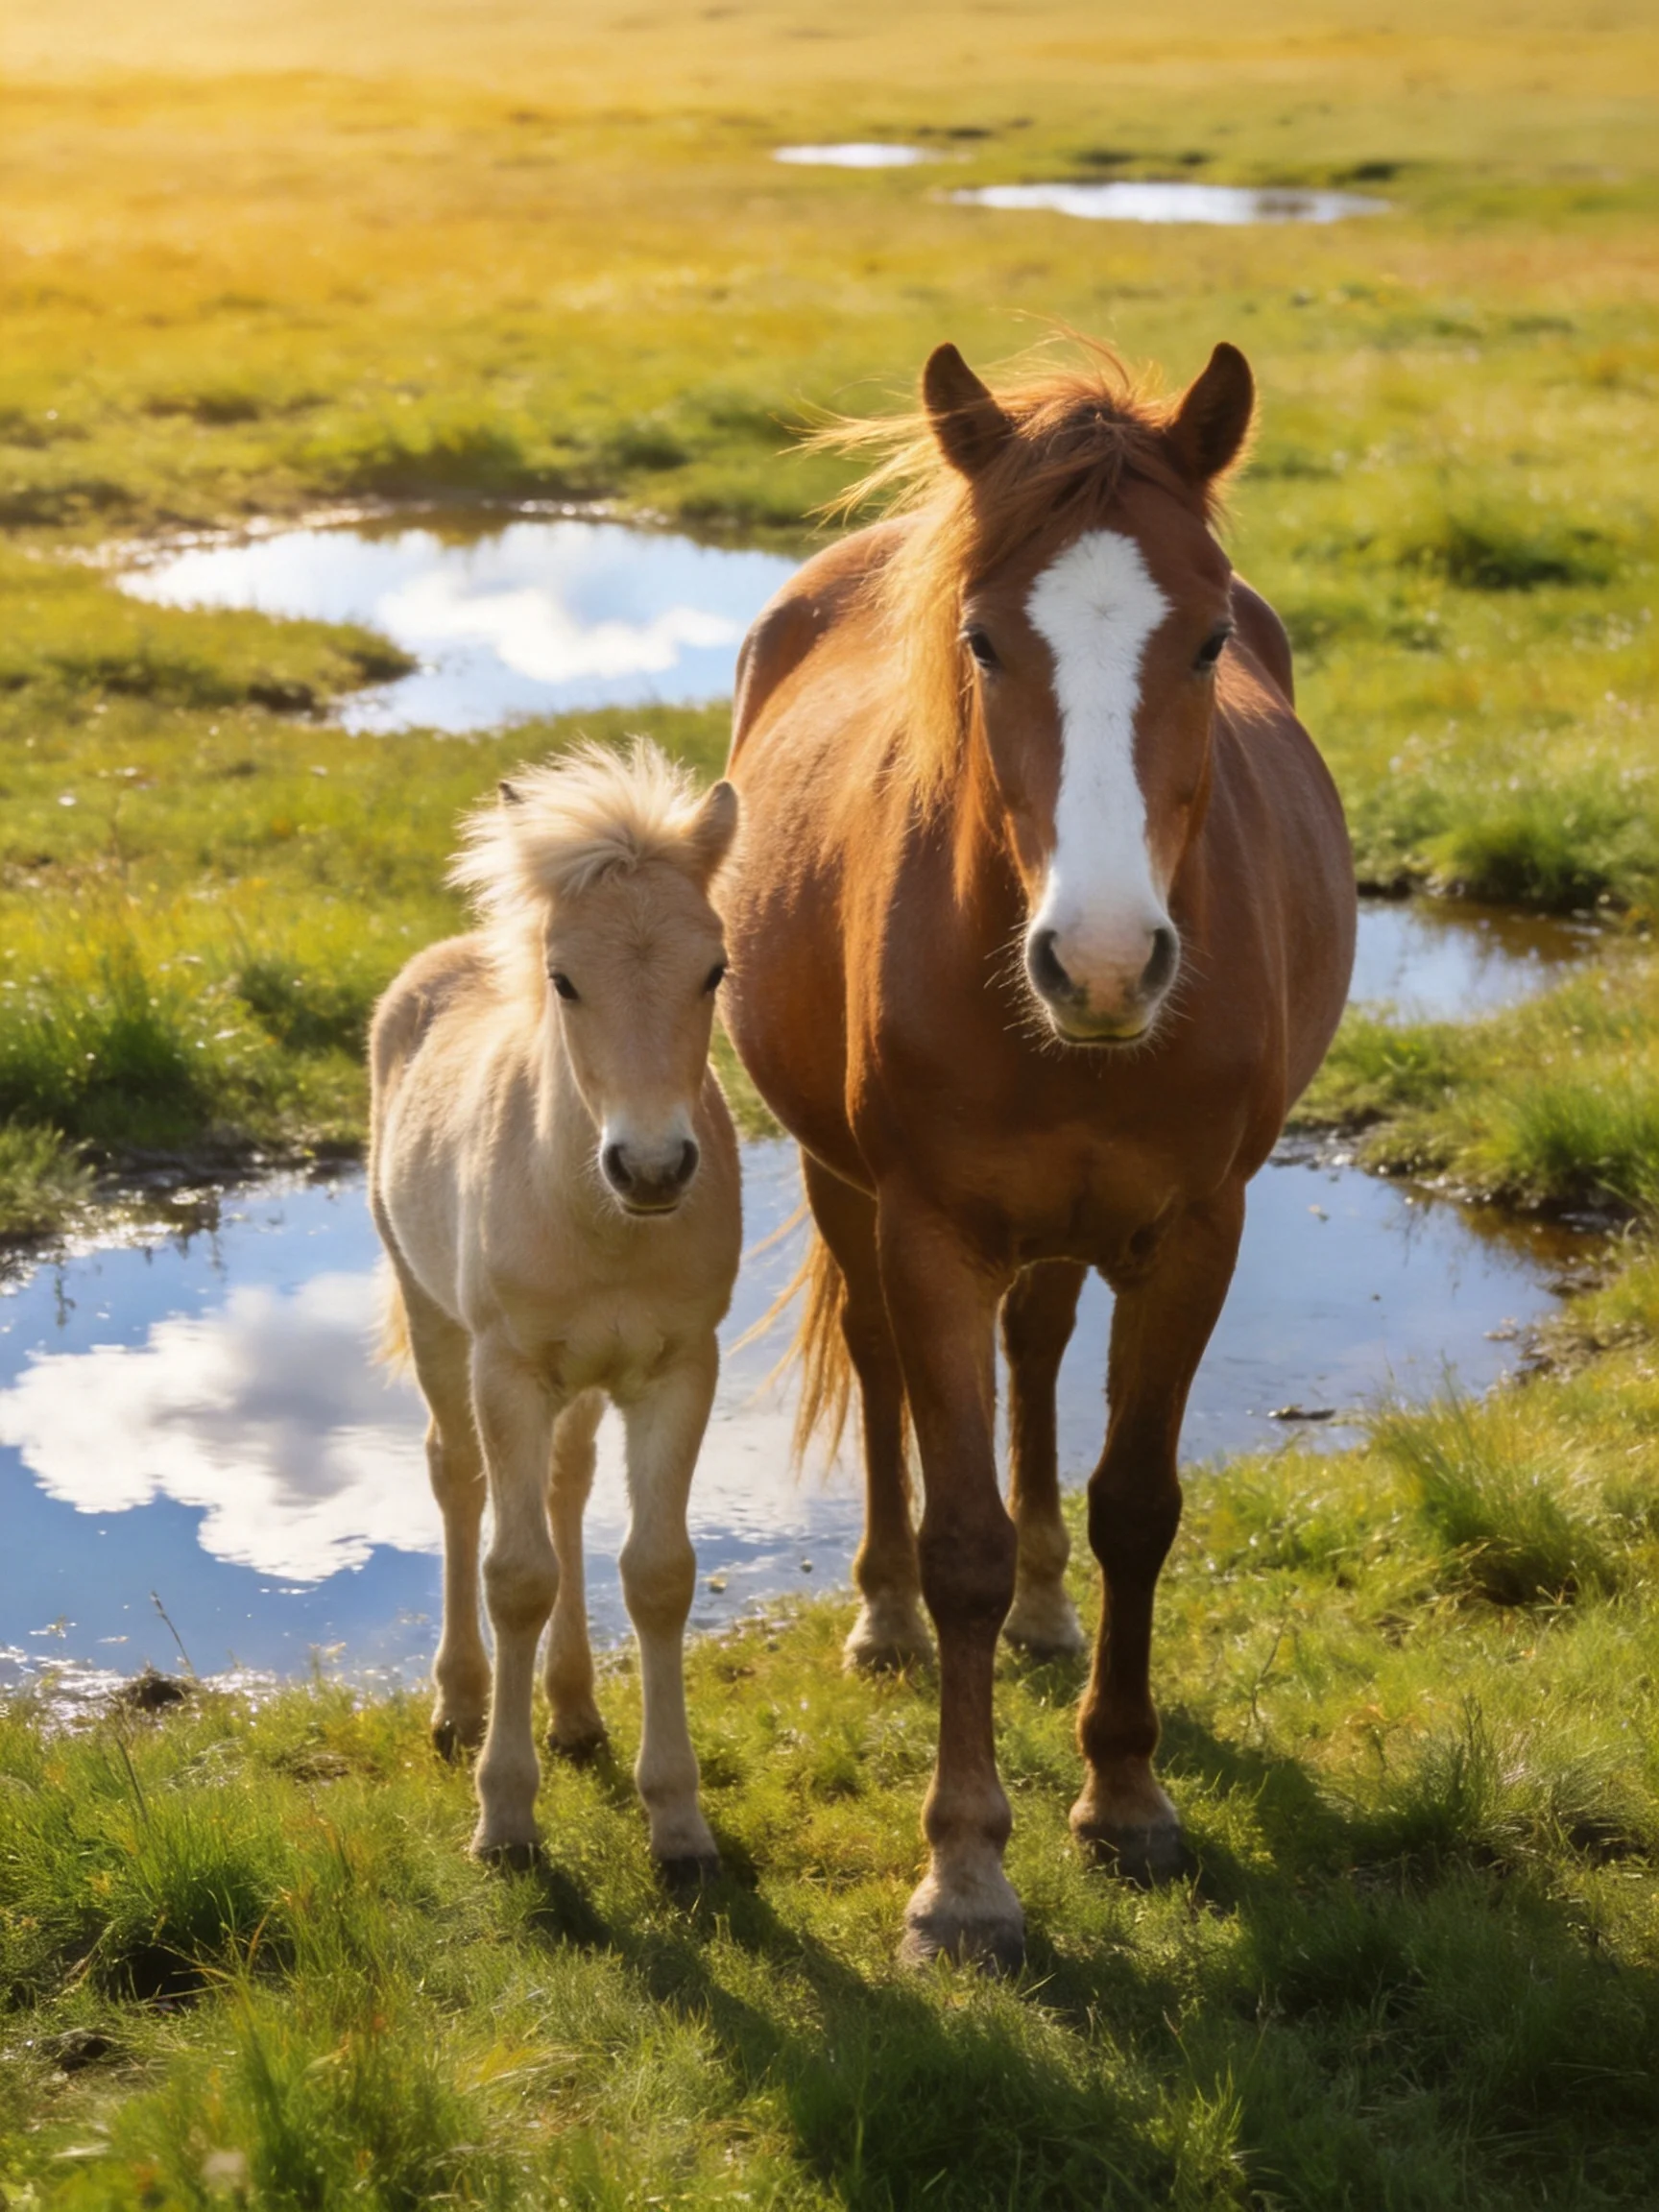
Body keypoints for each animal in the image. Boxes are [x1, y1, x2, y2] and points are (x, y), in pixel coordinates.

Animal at [368, 740, 742, 1877]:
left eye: (714, 970)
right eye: (563, 978)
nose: (653, 1166)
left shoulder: (678, 1368)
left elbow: (658, 1572)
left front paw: (678, 1823)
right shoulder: (509, 1369)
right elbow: (516, 1574)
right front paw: (505, 1817)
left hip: (582, 1379)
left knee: (568, 1490)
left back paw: (573, 1710)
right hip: (436, 1320)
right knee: (457, 1477)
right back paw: (458, 1704)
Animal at [722, 336, 1355, 1968]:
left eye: (1208, 641)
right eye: (985, 644)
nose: (1108, 961)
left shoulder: (1196, 1230)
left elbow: (1140, 1505)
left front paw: (1124, 1797)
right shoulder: (930, 1228)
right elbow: (961, 1540)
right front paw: (964, 1873)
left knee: (1042, 1348)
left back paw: (1051, 1614)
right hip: (843, 1187)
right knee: (883, 1373)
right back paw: (882, 1617)